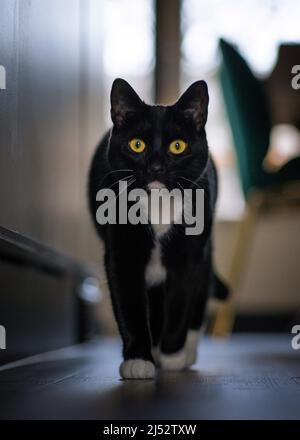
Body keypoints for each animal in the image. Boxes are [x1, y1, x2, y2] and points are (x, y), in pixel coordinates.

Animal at [88, 78, 229, 378]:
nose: (155, 167)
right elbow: (129, 305)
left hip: (206, 250)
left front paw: (172, 355)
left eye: (177, 146)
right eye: (136, 145)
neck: (158, 205)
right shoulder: (122, 252)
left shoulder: (189, 254)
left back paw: (187, 351)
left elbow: (180, 302)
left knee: (199, 296)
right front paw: (139, 360)